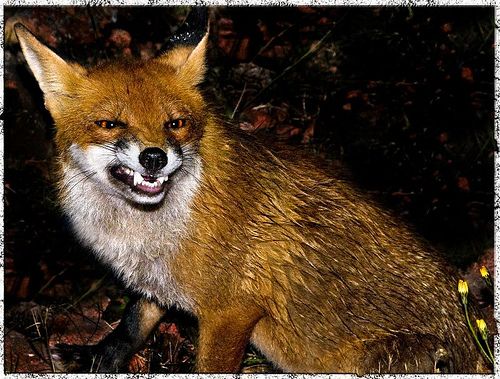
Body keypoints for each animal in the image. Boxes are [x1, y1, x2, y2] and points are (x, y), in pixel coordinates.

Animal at [14, 10, 488, 376]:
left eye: (175, 123)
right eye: (110, 124)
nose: (154, 157)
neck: (153, 229)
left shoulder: (231, 311)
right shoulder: (155, 283)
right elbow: (133, 324)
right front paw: (98, 357)